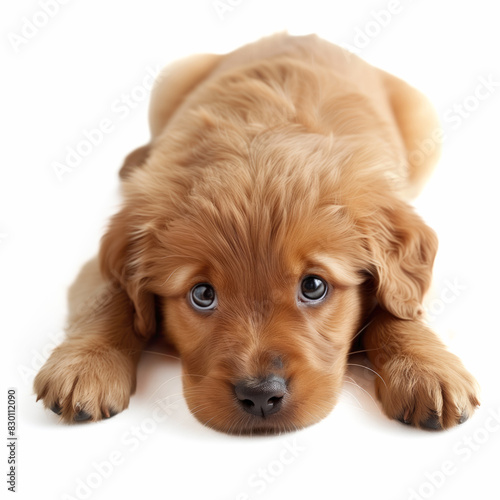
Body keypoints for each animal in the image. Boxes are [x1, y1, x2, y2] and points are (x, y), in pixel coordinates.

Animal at [33, 34, 478, 434]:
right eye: (202, 294)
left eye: (314, 286)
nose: (261, 396)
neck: (264, 137)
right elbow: (110, 297)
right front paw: (85, 365)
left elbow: (399, 307)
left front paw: (426, 368)